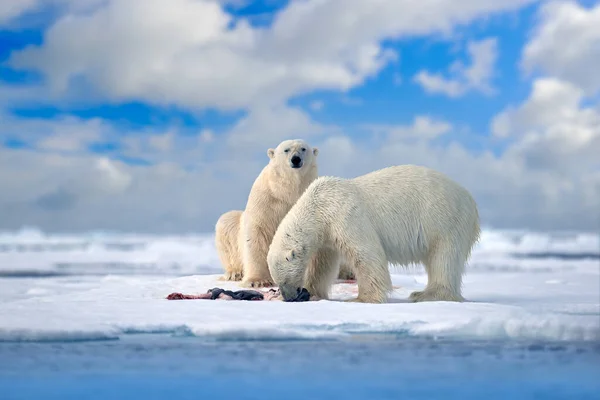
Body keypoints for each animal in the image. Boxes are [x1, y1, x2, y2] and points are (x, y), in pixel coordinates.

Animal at [216, 140, 356, 288]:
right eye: (286, 150)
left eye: (303, 149)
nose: (296, 159)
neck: (288, 191)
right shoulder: (266, 199)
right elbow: (257, 234)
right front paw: (257, 281)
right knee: (226, 222)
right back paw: (234, 273)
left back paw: (348, 272)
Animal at [268, 165, 482, 304]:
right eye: (277, 282)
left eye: (284, 280)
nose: (289, 297)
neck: (319, 205)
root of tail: (471, 200)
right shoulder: (326, 234)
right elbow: (322, 264)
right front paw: (312, 292)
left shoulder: (345, 215)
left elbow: (366, 254)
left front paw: (361, 299)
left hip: (445, 220)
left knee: (443, 258)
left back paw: (425, 294)